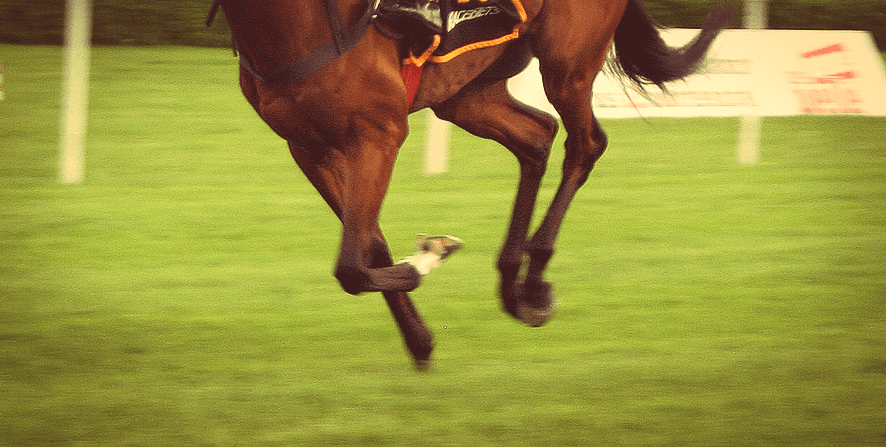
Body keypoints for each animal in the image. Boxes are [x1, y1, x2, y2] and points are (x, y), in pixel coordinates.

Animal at [206, 0, 731, 369]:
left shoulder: (378, 134)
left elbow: (352, 267)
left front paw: (430, 254)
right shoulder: (308, 148)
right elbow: (368, 248)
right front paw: (420, 340)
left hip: (568, 63)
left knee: (585, 145)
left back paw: (534, 283)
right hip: (466, 92)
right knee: (536, 137)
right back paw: (512, 281)